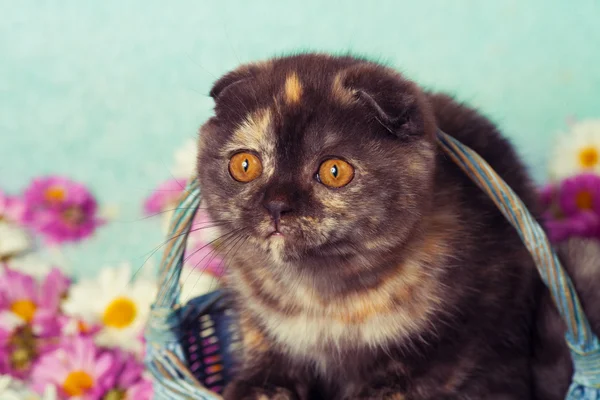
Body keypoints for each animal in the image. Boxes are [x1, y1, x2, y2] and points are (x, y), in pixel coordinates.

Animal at [197, 53, 544, 400]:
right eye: (244, 165)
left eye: (334, 171)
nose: (276, 205)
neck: (320, 296)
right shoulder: (256, 317)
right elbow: (266, 351)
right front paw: (257, 388)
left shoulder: (462, 327)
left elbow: (402, 382)